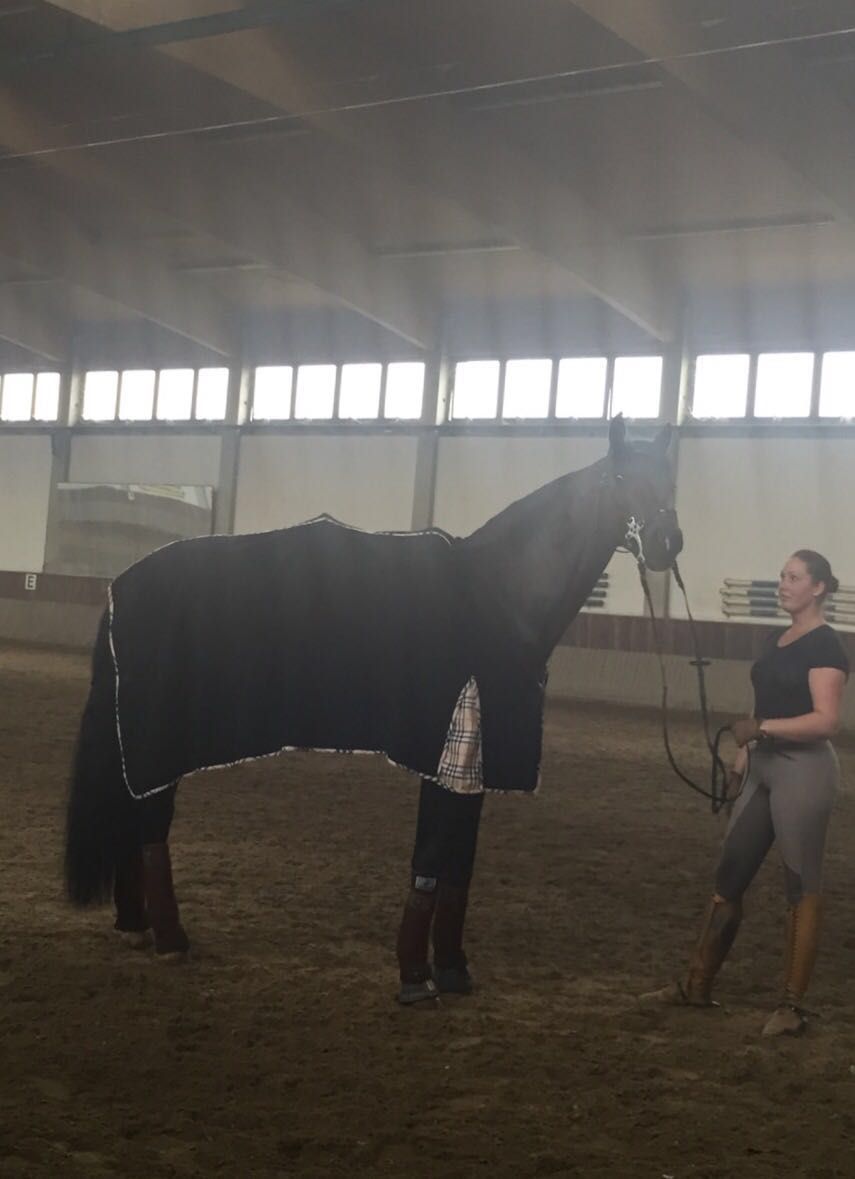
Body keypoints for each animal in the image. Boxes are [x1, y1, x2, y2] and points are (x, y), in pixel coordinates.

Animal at [64, 414, 683, 980]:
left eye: (669, 479)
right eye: (622, 476)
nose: (666, 543)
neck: (496, 592)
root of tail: (120, 585)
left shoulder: (471, 762)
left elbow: (460, 861)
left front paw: (452, 967)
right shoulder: (449, 752)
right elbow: (435, 853)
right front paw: (417, 968)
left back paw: (137, 925)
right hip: (159, 741)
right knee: (149, 829)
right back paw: (170, 937)